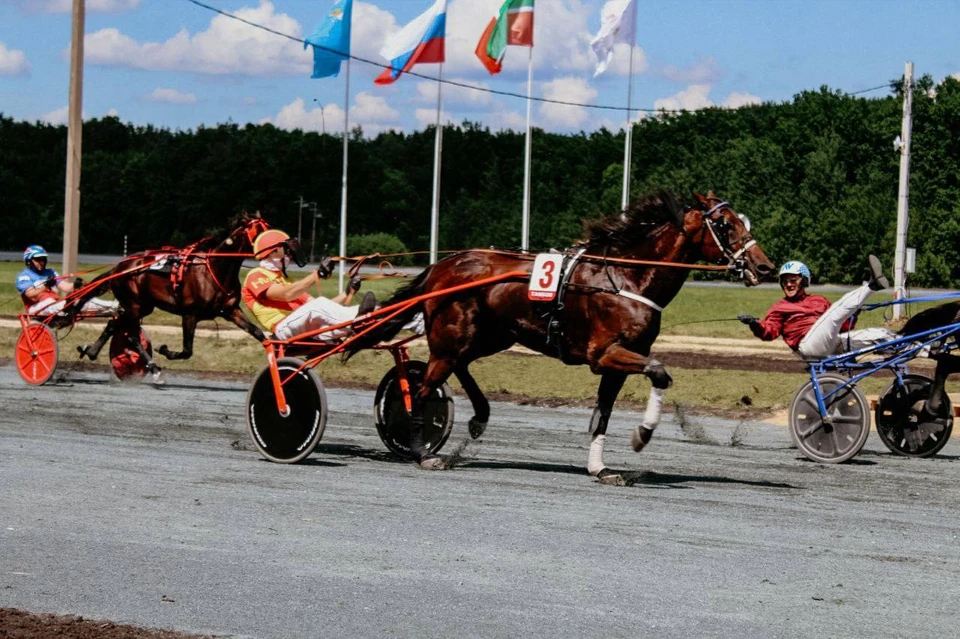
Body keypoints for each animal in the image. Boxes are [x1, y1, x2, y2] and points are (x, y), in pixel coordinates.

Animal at [78, 212, 270, 372]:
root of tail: (120, 266)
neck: (216, 269)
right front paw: (164, 350)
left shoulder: (231, 311)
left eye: (268, 228)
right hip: (134, 304)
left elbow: (258, 333)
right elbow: (187, 351)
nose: (277, 246)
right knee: (132, 336)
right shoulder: (190, 314)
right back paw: (152, 365)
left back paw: (92, 351)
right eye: (258, 232)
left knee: (114, 322)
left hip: (143, 306)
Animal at [348, 190, 776, 476]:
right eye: (725, 224)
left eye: (744, 222)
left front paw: (600, 467)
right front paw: (642, 434)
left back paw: (480, 417)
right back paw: (423, 451)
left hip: (492, 335)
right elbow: (659, 371)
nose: (765, 266)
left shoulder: (617, 363)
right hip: (452, 339)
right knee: (421, 391)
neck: (627, 277)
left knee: (462, 366)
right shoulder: (603, 354)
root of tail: (443, 266)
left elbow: (604, 414)